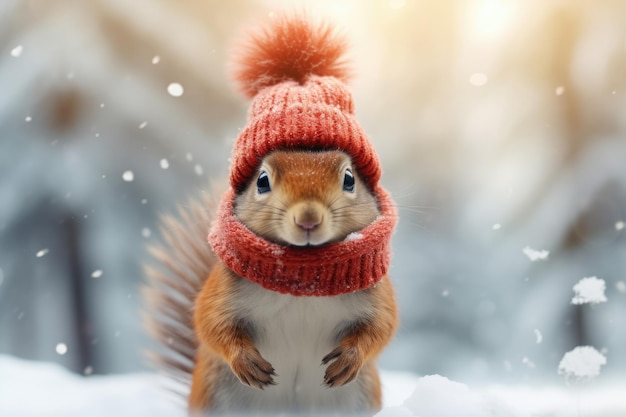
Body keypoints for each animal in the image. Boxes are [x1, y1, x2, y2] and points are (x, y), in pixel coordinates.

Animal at [143, 13, 398, 412]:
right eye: (262, 181)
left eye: (349, 178)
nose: (307, 218)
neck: (303, 278)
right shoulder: (223, 289)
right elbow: (209, 322)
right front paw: (245, 362)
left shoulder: (375, 295)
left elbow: (382, 327)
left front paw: (350, 359)